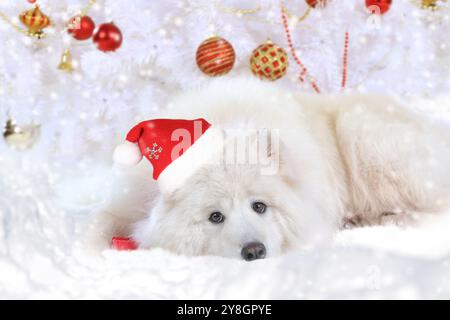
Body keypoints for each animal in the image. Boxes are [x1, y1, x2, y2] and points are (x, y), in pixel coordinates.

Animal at [87, 79, 450, 262]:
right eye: (215, 216)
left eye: (259, 206)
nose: (254, 251)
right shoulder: (125, 202)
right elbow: (99, 223)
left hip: (363, 133)